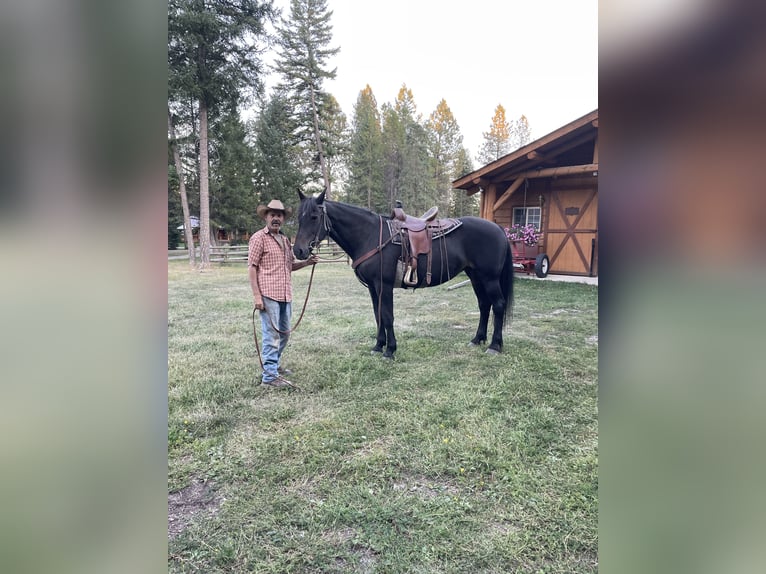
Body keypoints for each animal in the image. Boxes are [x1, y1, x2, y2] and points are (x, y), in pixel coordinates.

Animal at [294, 191, 516, 358]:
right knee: (484, 305)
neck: (370, 235)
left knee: (497, 305)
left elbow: (387, 316)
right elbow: (378, 316)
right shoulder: (373, 288)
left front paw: (390, 350)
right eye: (298, 218)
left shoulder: (383, 285)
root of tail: (498, 228)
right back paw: (477, 339)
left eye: (314, 217)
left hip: (489, 278)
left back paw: (494, 346)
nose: (298, 251)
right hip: (475, 276)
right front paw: (378, 346)